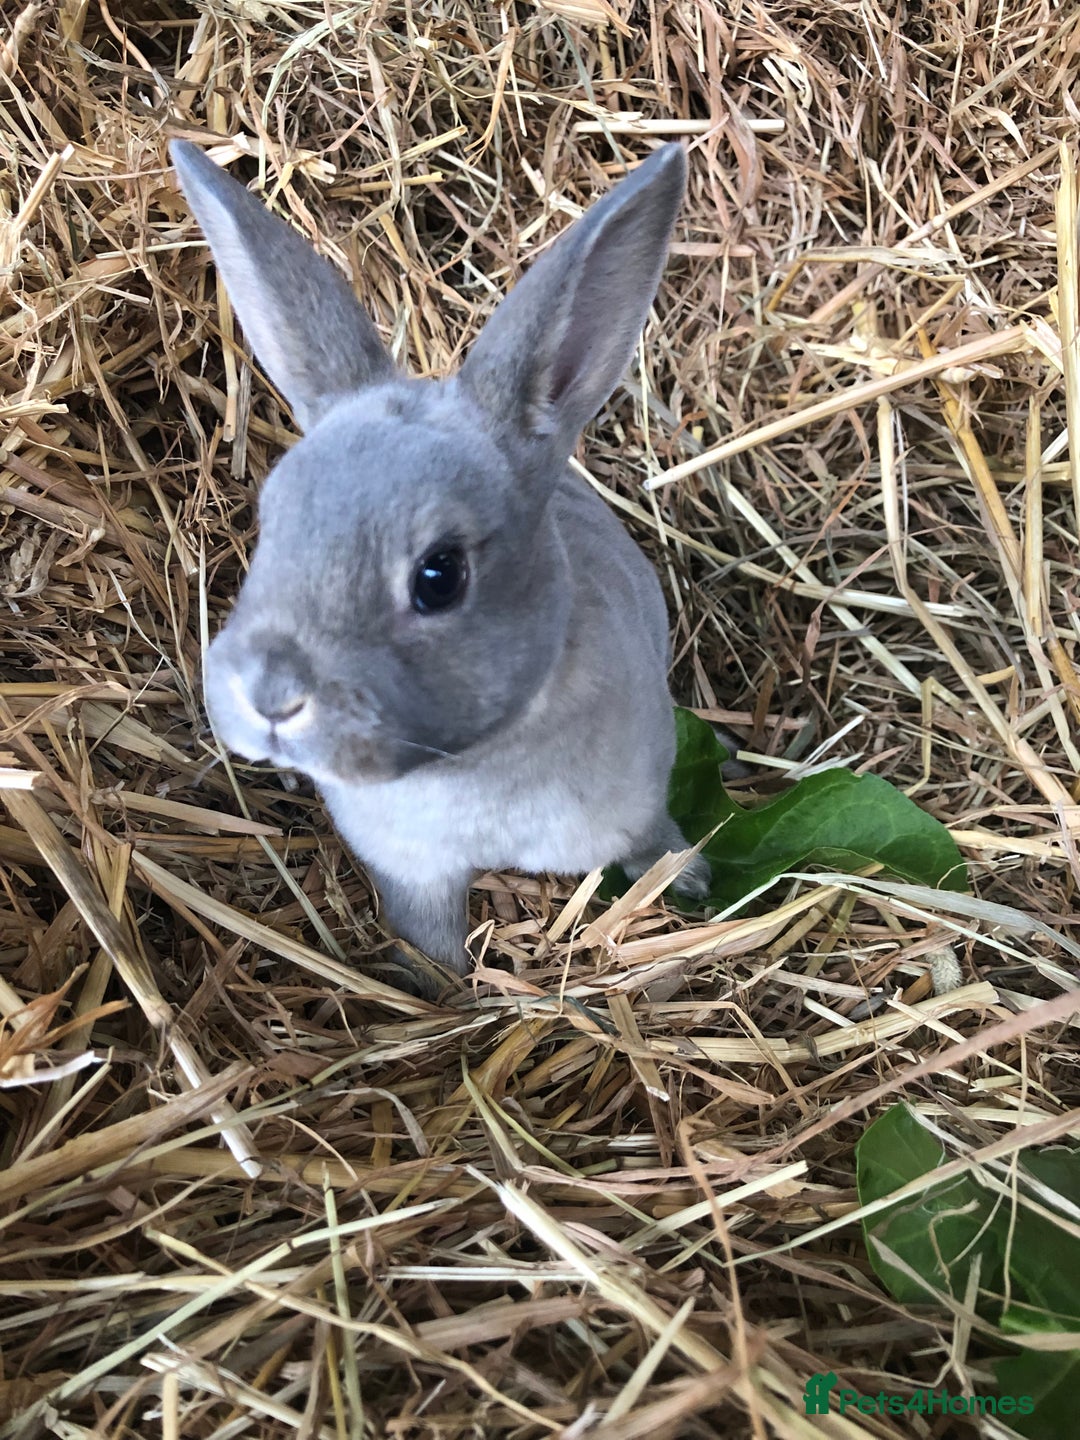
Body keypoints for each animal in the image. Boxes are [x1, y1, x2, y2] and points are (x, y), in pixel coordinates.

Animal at [170, 138, 710, 978]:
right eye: (270, 523)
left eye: (439, 576)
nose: (271, 695)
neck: (468, 761)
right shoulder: (412, 870)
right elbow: (430, 939)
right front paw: (437, 985)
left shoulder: (638, 808)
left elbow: (654, 849)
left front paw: (694, 886)